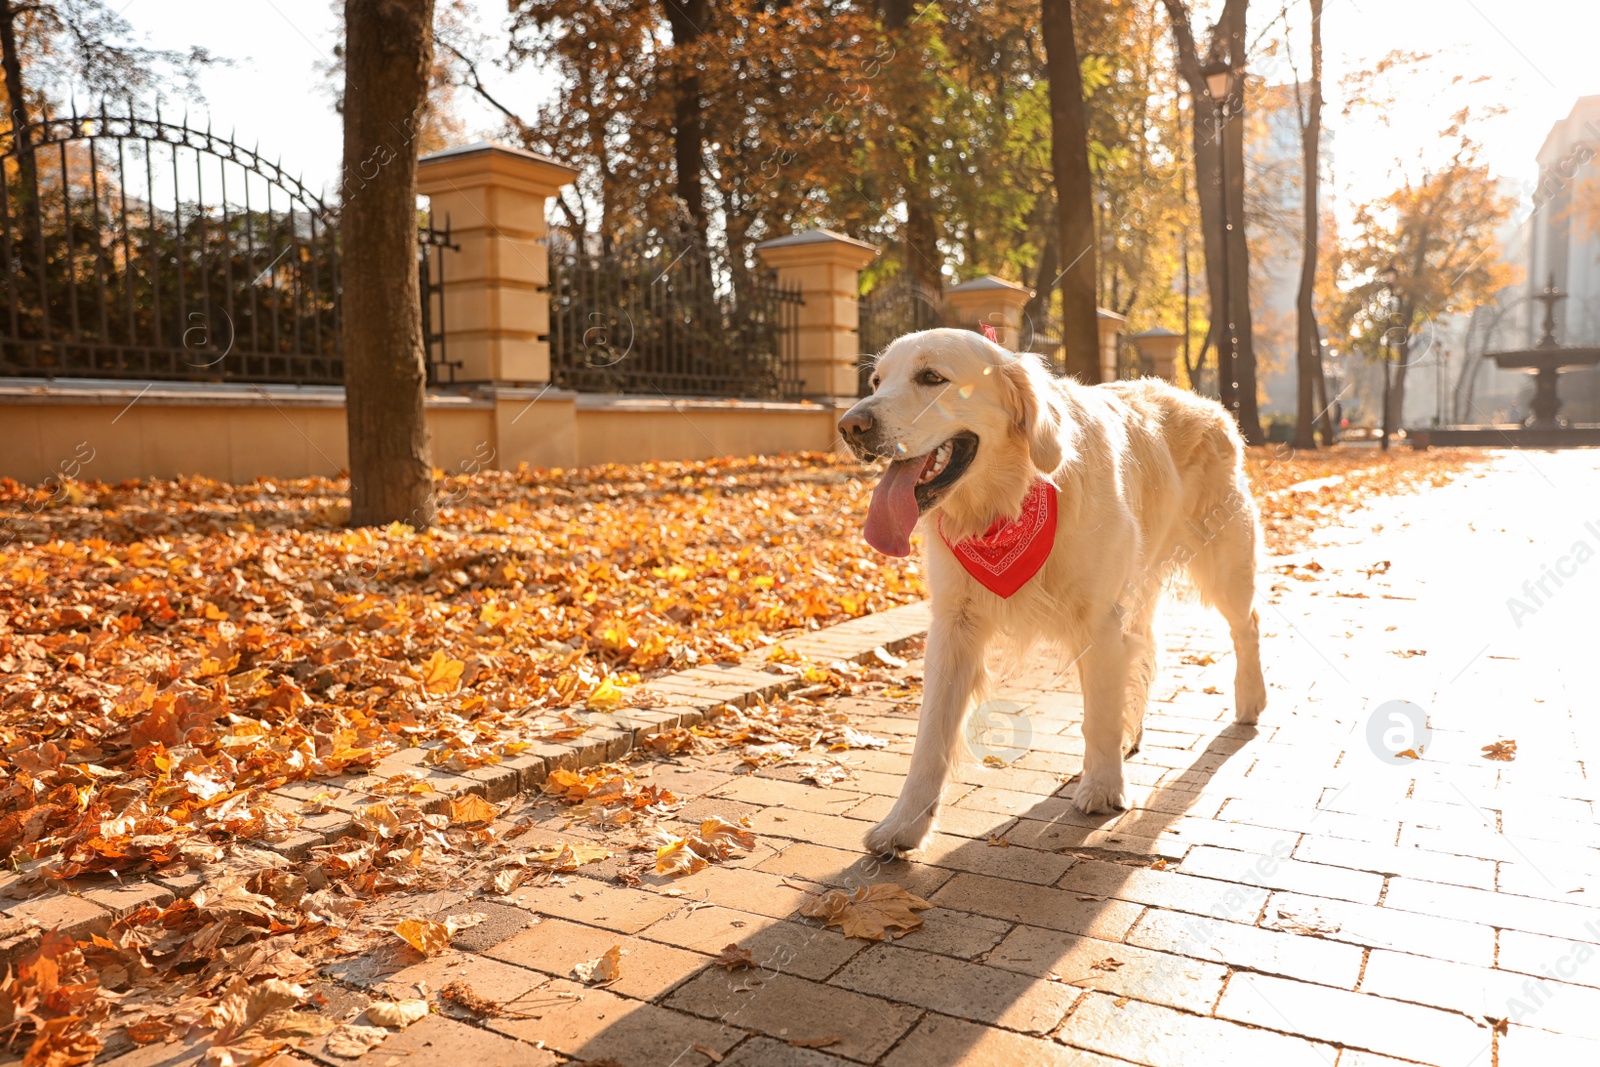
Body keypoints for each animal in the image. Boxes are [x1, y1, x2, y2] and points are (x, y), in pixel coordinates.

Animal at [838, 329, 1260, 857]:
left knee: (1247, 626)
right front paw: (903, 825)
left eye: (931, 377)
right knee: (1148, 646)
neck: (1010, 501)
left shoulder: (1100, 618)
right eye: (876, 380)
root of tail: (1206, 403)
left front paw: (1102, 787)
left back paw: (1250, 702)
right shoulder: (954, 625)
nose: (850, 426)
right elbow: (931, 737)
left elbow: (1098, 712)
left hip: (1225, 563)